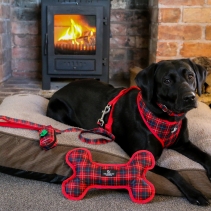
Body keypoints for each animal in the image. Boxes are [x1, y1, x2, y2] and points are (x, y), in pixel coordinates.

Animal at [47, 59, 210, 206]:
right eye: (167, 80)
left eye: (190, 76)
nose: (189, 97)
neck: (167, 118)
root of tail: (59, 89)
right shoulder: (146, 156)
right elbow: (174, 172)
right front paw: (195, 193)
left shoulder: (184, 144)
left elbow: (206, 156)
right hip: (60, 111)